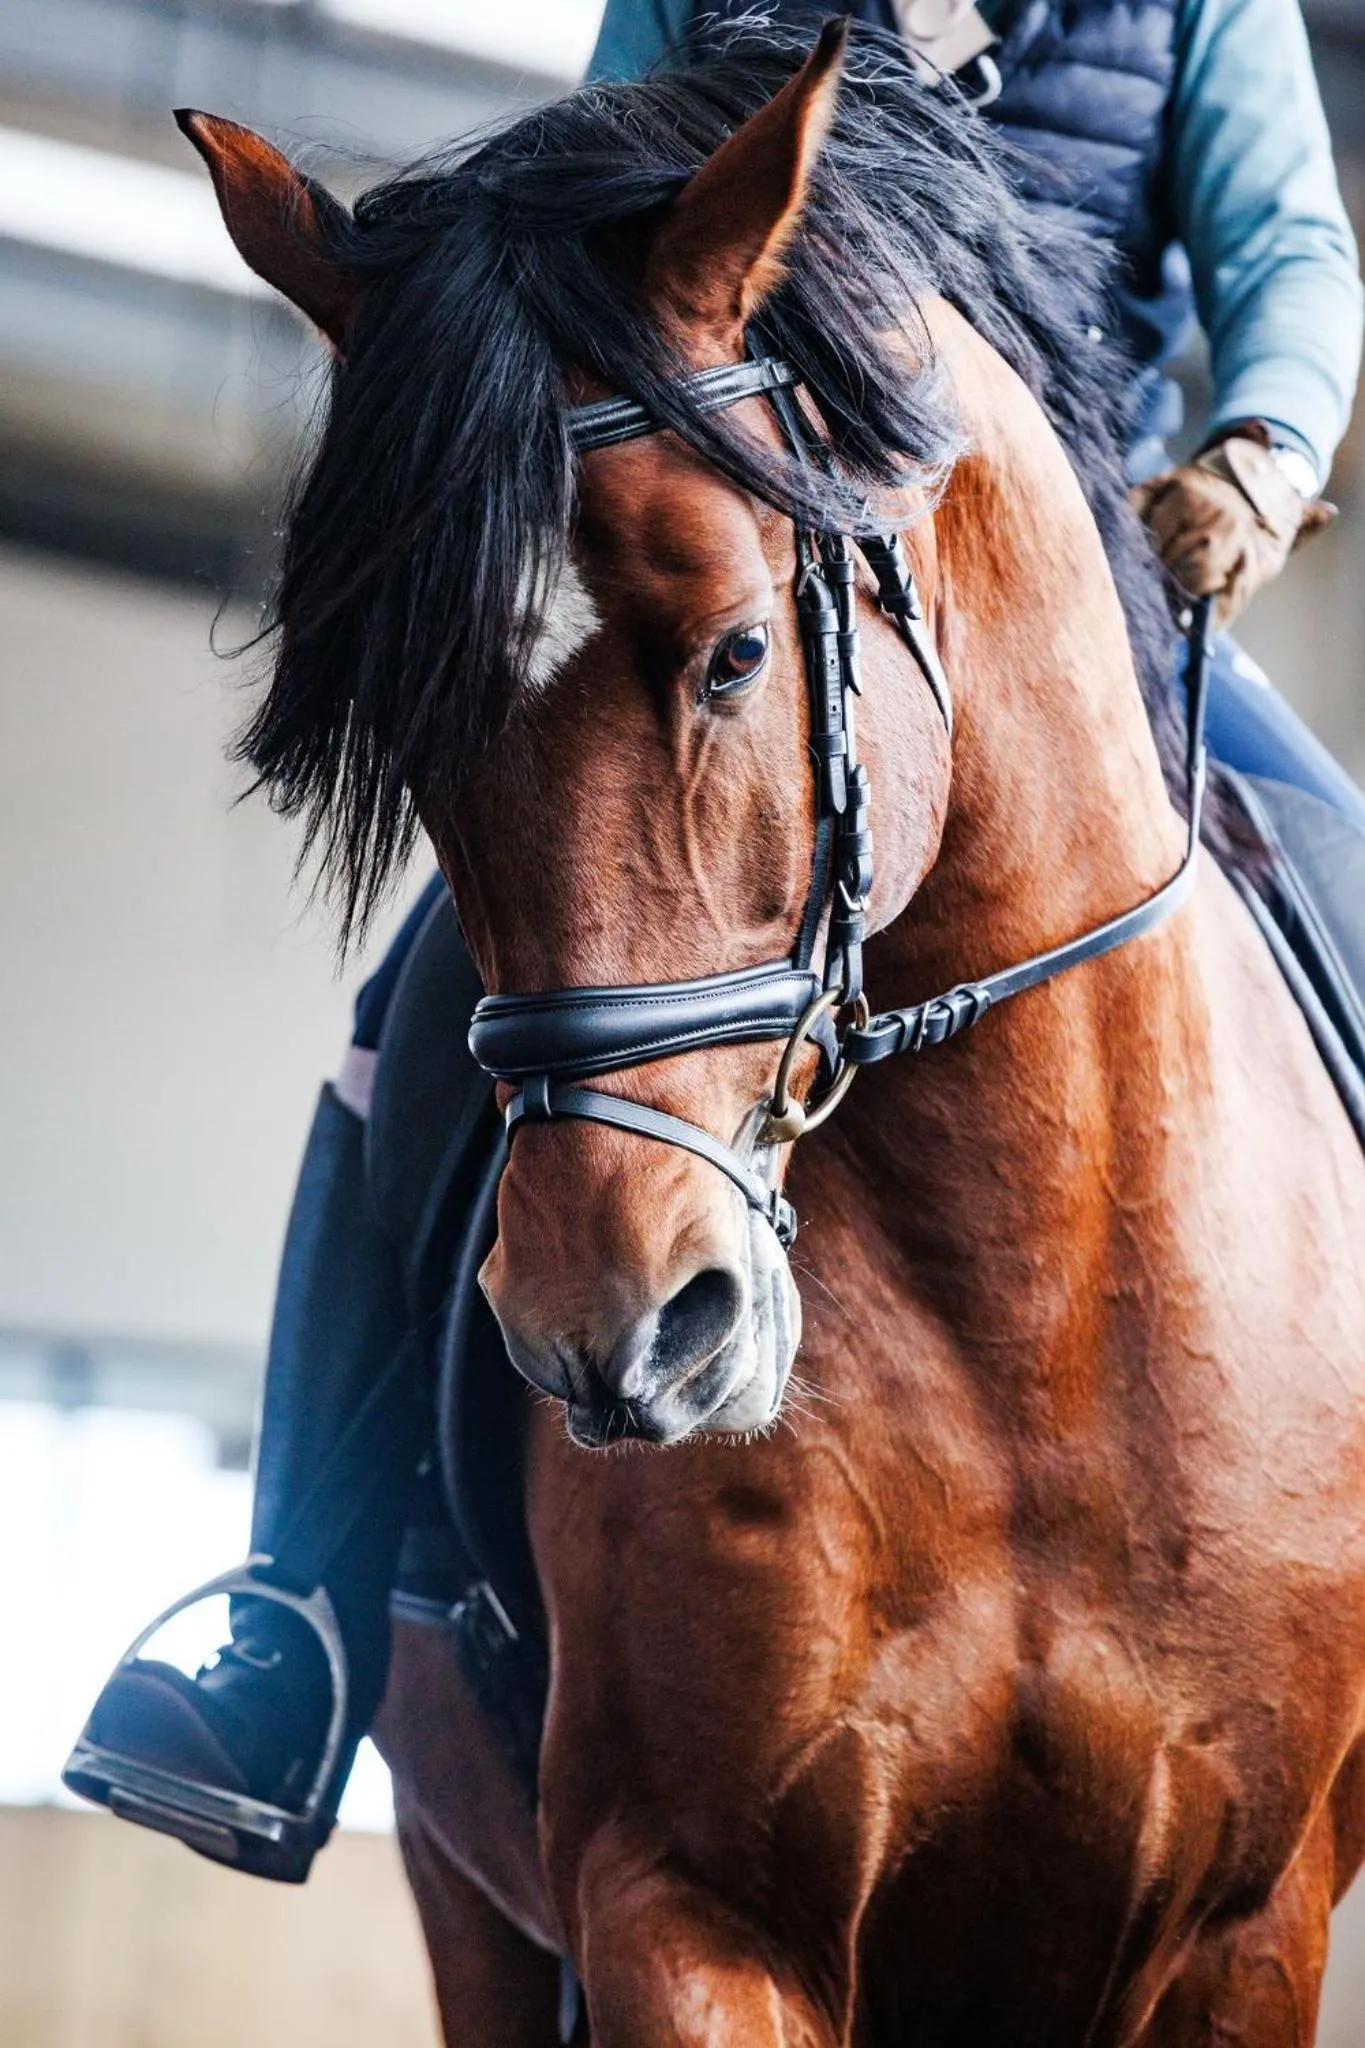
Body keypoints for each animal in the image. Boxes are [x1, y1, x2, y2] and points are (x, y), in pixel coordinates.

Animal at [181, 22, 1365, 2042]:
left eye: (739, 650)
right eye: (409, 729)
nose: (608, 1327)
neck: (1038, 1290)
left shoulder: (1242, 1933)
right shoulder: (687, 1905)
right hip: (470, 1898)